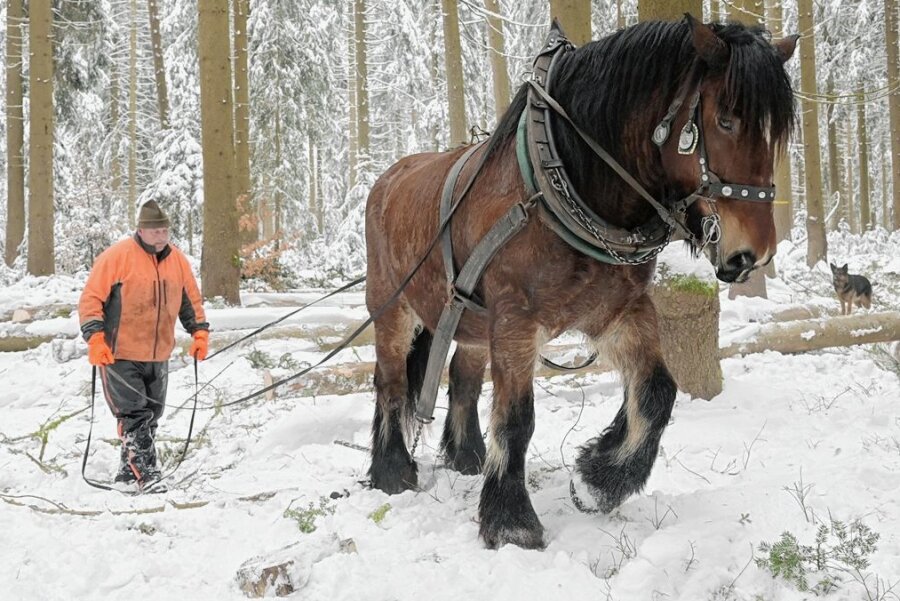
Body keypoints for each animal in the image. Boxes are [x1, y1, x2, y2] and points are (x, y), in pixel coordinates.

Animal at [362, 16, 800, 548]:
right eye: (727, 120)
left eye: (777, 131)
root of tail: (388, 178)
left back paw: (468, 457)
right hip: (391, 306)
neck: (564, 181)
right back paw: (392, 470)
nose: (754, 253)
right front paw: (511, 521)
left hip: (469, 320)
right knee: (390, 381)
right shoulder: (516, 320)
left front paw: (600, 480)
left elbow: (658, 391)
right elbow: (517, 418)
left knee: (463, 380)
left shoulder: (620, 310)